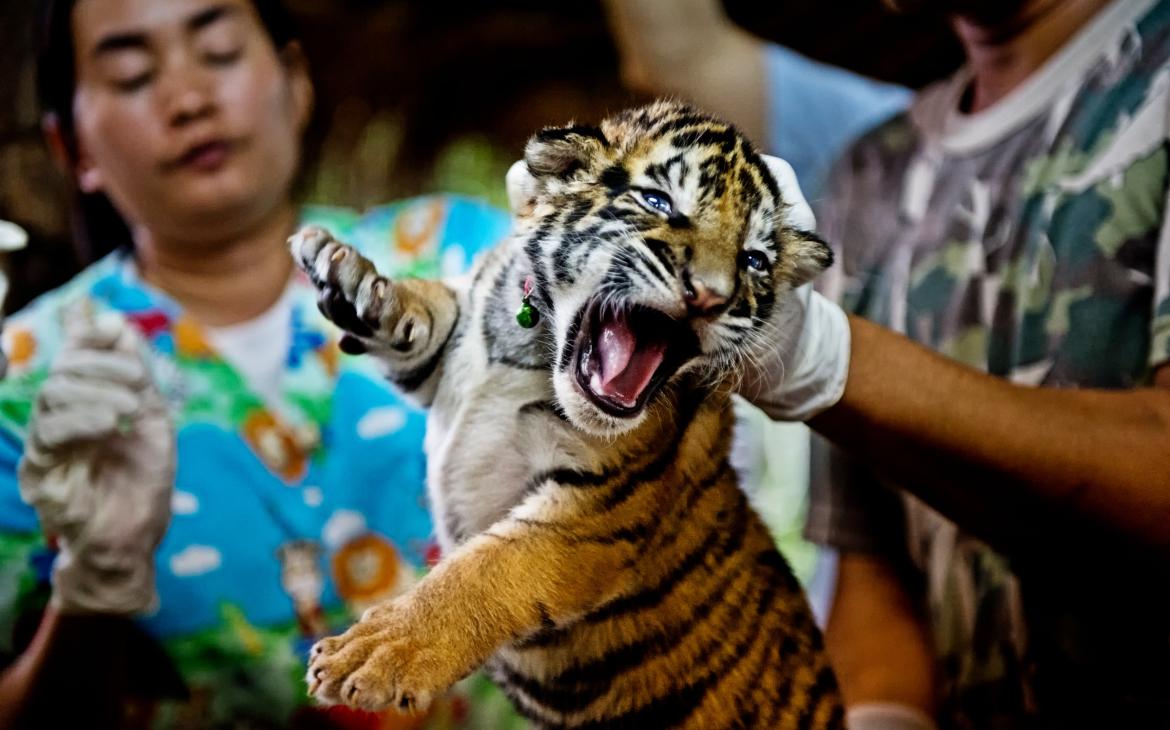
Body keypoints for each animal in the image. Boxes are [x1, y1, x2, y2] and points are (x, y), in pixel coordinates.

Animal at [290, 99, 844, 729]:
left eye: (753, 260)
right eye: (658, 202)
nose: (710, 295)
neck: (535, 348)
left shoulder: (590, 518)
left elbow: (479, 573)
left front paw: (372, 654)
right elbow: (434, 313)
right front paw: (358, 283)